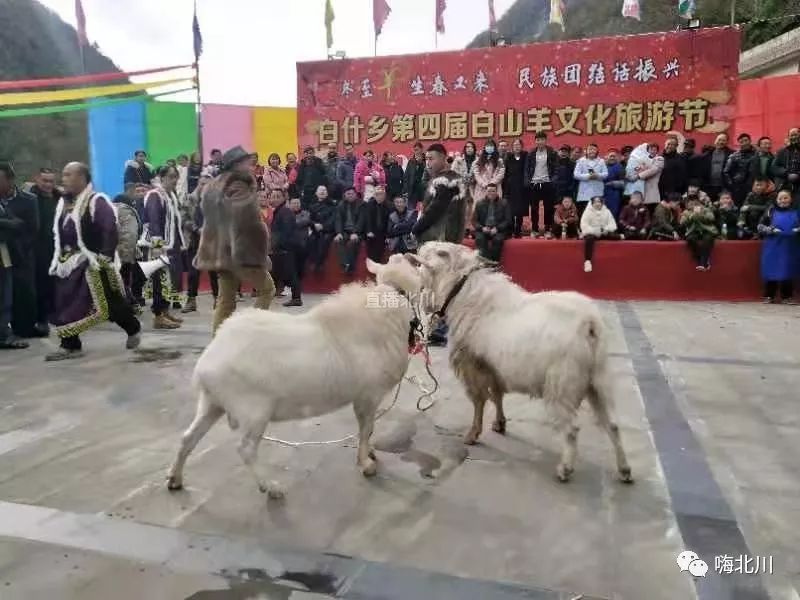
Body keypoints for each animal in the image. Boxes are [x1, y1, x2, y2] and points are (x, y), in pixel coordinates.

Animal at [166, 253, 422, 496]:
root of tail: (206, 363)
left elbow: (368, 430)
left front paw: (370, 454)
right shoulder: (368, 395)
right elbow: (367, 429)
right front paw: (366, 464)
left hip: (212, 403)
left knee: (188, 437)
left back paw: (174, 479)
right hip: (253, 409)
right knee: (245, 449)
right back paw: (270, 487)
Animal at [410, 243, 636, 482]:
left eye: (432, 254)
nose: (417, 248)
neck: (464, 295)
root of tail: (589, 323)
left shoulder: (473, 365)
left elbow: (479, 402)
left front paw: (472, 434)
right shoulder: (494, 367)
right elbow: (497, 395)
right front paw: (499, 424)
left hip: (562, 383)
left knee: (572, 429)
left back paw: (565, 468)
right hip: (599, 378)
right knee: (613, 425)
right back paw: (624, 469)